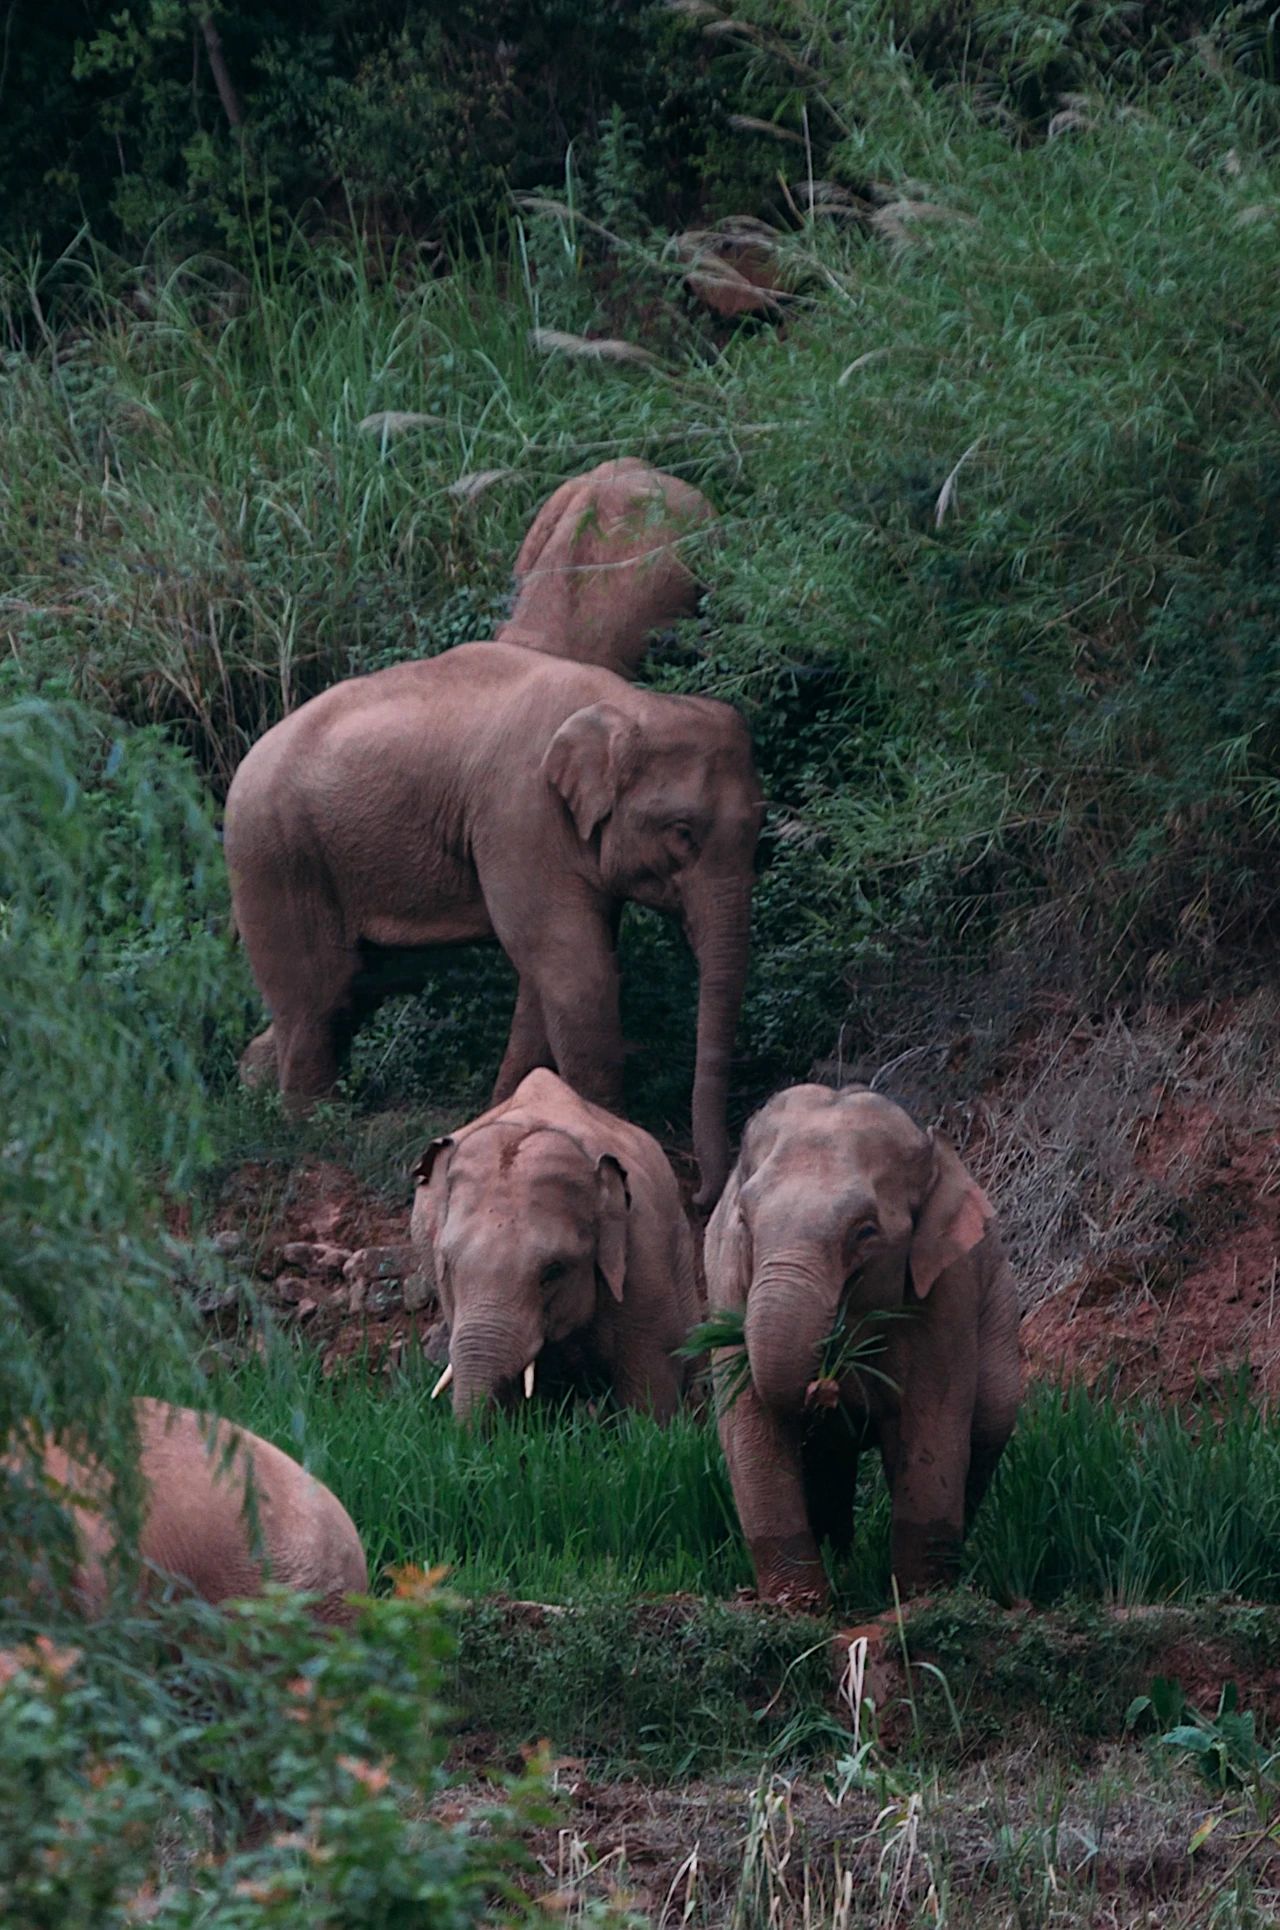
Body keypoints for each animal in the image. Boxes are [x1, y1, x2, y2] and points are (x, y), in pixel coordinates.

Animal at [226, 640, 760, 1196]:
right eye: (682, 832)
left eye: (760, 830)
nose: (700, 1191)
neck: (627, 703)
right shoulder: (520, 814)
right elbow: (575, 969)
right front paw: (613, 1137)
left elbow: (544, 975)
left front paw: (504, 1109)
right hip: (274, 854)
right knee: (322, 992)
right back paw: (316, 1127)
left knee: (356, 987)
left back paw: (254, 1086)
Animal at [706, 1088, 1027, 1613]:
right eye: (745, 1222)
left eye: (866, 1231)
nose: (823, 1386)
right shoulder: (725, 1278)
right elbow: (749, 1421)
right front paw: (799, 1607)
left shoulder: (948, 1288)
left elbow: (933, 1419)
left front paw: (921, 1600)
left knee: (988, 1424)